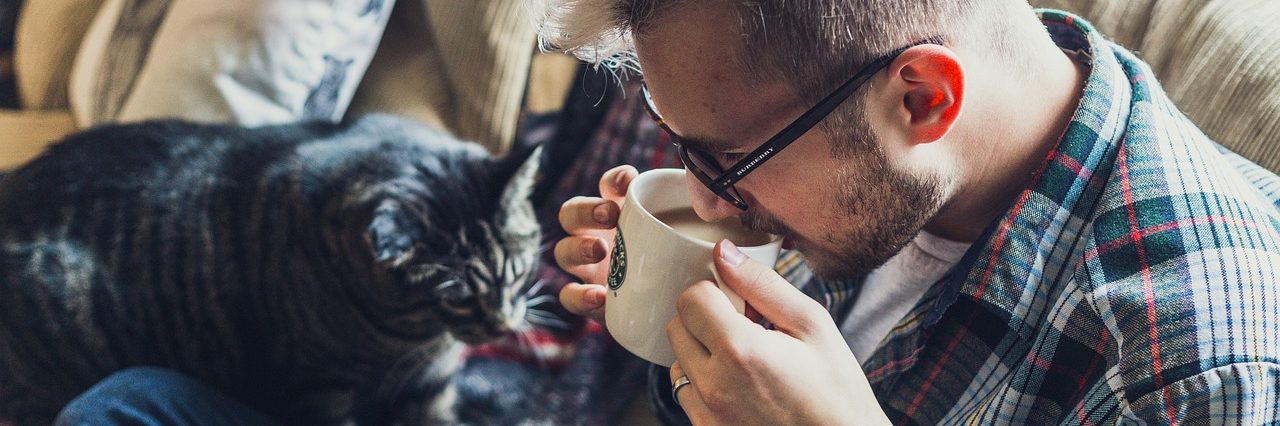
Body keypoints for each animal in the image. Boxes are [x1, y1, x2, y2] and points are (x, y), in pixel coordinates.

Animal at [0, 114, 545, 422]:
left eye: (517, 270)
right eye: (456, 295)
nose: (503, 324)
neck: (414, 339)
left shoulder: (430, 387)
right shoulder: (315, 391)